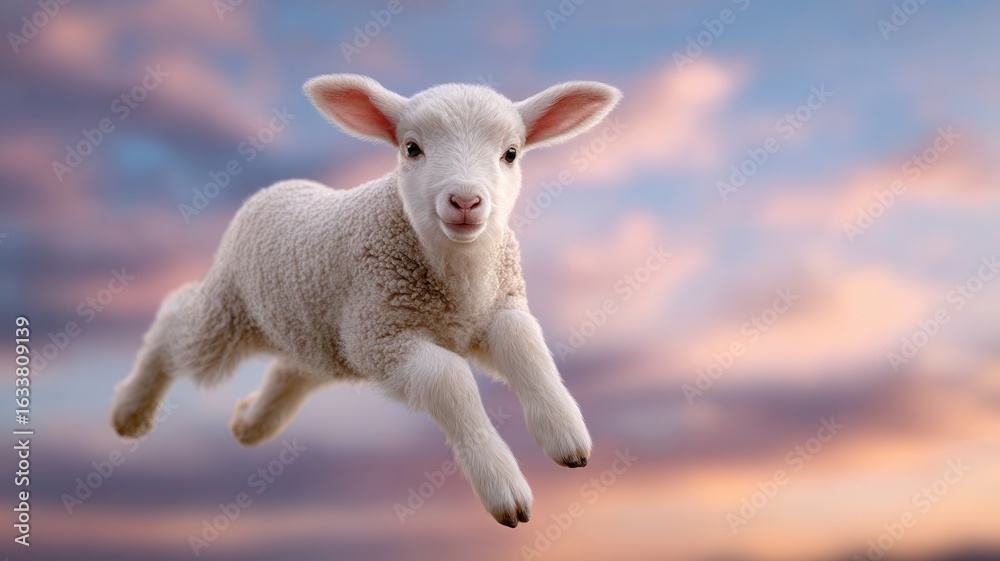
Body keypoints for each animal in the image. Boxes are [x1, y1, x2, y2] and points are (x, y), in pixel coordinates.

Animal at [110, 74, 622, 527]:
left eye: (511, 153)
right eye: (412, 148)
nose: (464, 202)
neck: (458, 282)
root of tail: (280, 187)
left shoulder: (493, 306)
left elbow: (523, 340)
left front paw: (566, 436)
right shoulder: (378, 335)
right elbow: (448, 379)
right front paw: (503, 486)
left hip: (316, 334)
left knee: (292, 369)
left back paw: (251, 423)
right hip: (231, 311)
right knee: (176, 324)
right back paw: (131, 412)